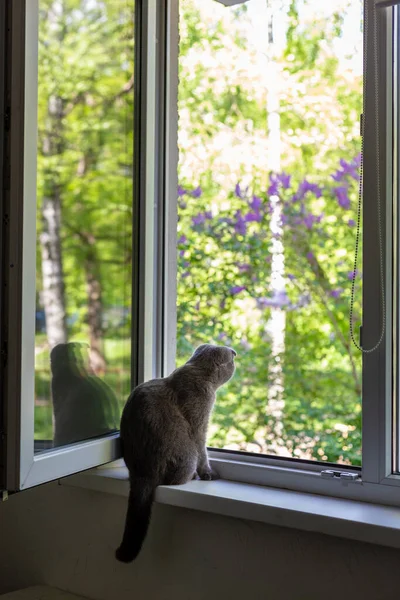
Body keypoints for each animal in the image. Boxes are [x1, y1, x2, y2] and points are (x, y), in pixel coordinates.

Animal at [114, 342, 236, 564]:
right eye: (232, 360)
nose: (235, 354)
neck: (196, 371)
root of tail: (143, 474)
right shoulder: (199, 423)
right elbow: (203, 450)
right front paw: (208, 473)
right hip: (187, 456)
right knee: (175, 479)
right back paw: (193, 476)